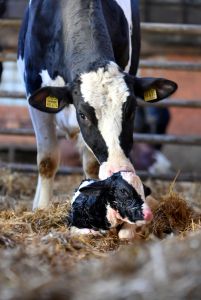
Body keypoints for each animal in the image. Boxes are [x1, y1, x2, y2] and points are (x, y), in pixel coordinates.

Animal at [17, 1, 177, 238]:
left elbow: (91, 166)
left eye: (131, 110)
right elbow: (47, 160)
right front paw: (42, 210)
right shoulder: (34, 96)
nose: (118, 168)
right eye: (83, 114)